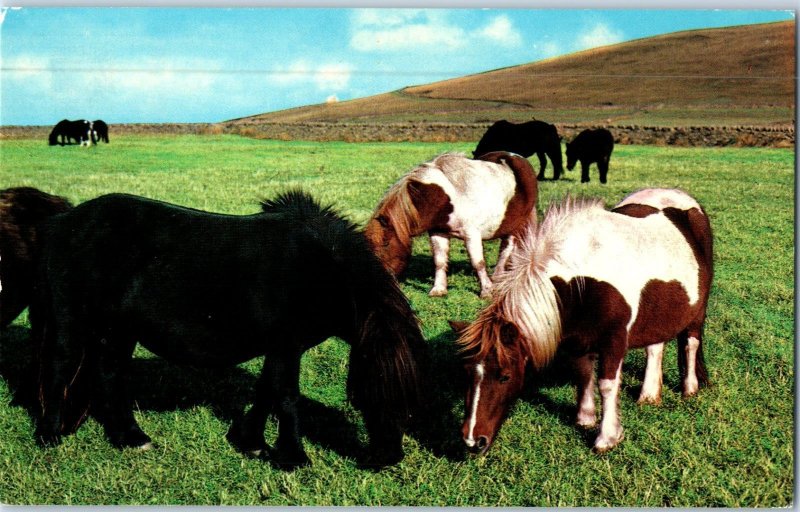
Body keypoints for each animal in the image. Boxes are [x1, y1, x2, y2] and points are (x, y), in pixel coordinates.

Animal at [31, 191, 428, 468]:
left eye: (411, 401)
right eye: (369, 392)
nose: (388, 457)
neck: (320, 269)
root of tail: (63, 221)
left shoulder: (281, 348)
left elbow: (267, 391)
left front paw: (252, 443)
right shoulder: (287, 346)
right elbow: (286, 396)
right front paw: (293, 457)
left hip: (118, 331)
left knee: (109, 375)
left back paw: (129, 437)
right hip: (72, 322)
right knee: (60, 368)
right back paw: (50, 435)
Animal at [364, 151, 536, 300]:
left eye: (386, 243)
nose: (379, 283)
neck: (446, 198)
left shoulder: (471, 234)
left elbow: (478, 263)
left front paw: (486, 291)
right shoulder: (438, 233)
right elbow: (439, 261)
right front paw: (439, 289)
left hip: (517, 225)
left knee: (507, 248)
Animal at [456, 190, 712, 454]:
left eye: (505, 376)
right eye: (467, 372)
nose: (473, 441)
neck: (581, 277)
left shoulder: (614, 341)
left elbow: (607, 385)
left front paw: (606, 438)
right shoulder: (578, 338)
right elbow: (583, 374)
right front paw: (585, 418)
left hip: (697, 311)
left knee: (691, 344)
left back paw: (689, 389)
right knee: (655, 347)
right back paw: (649, 396)